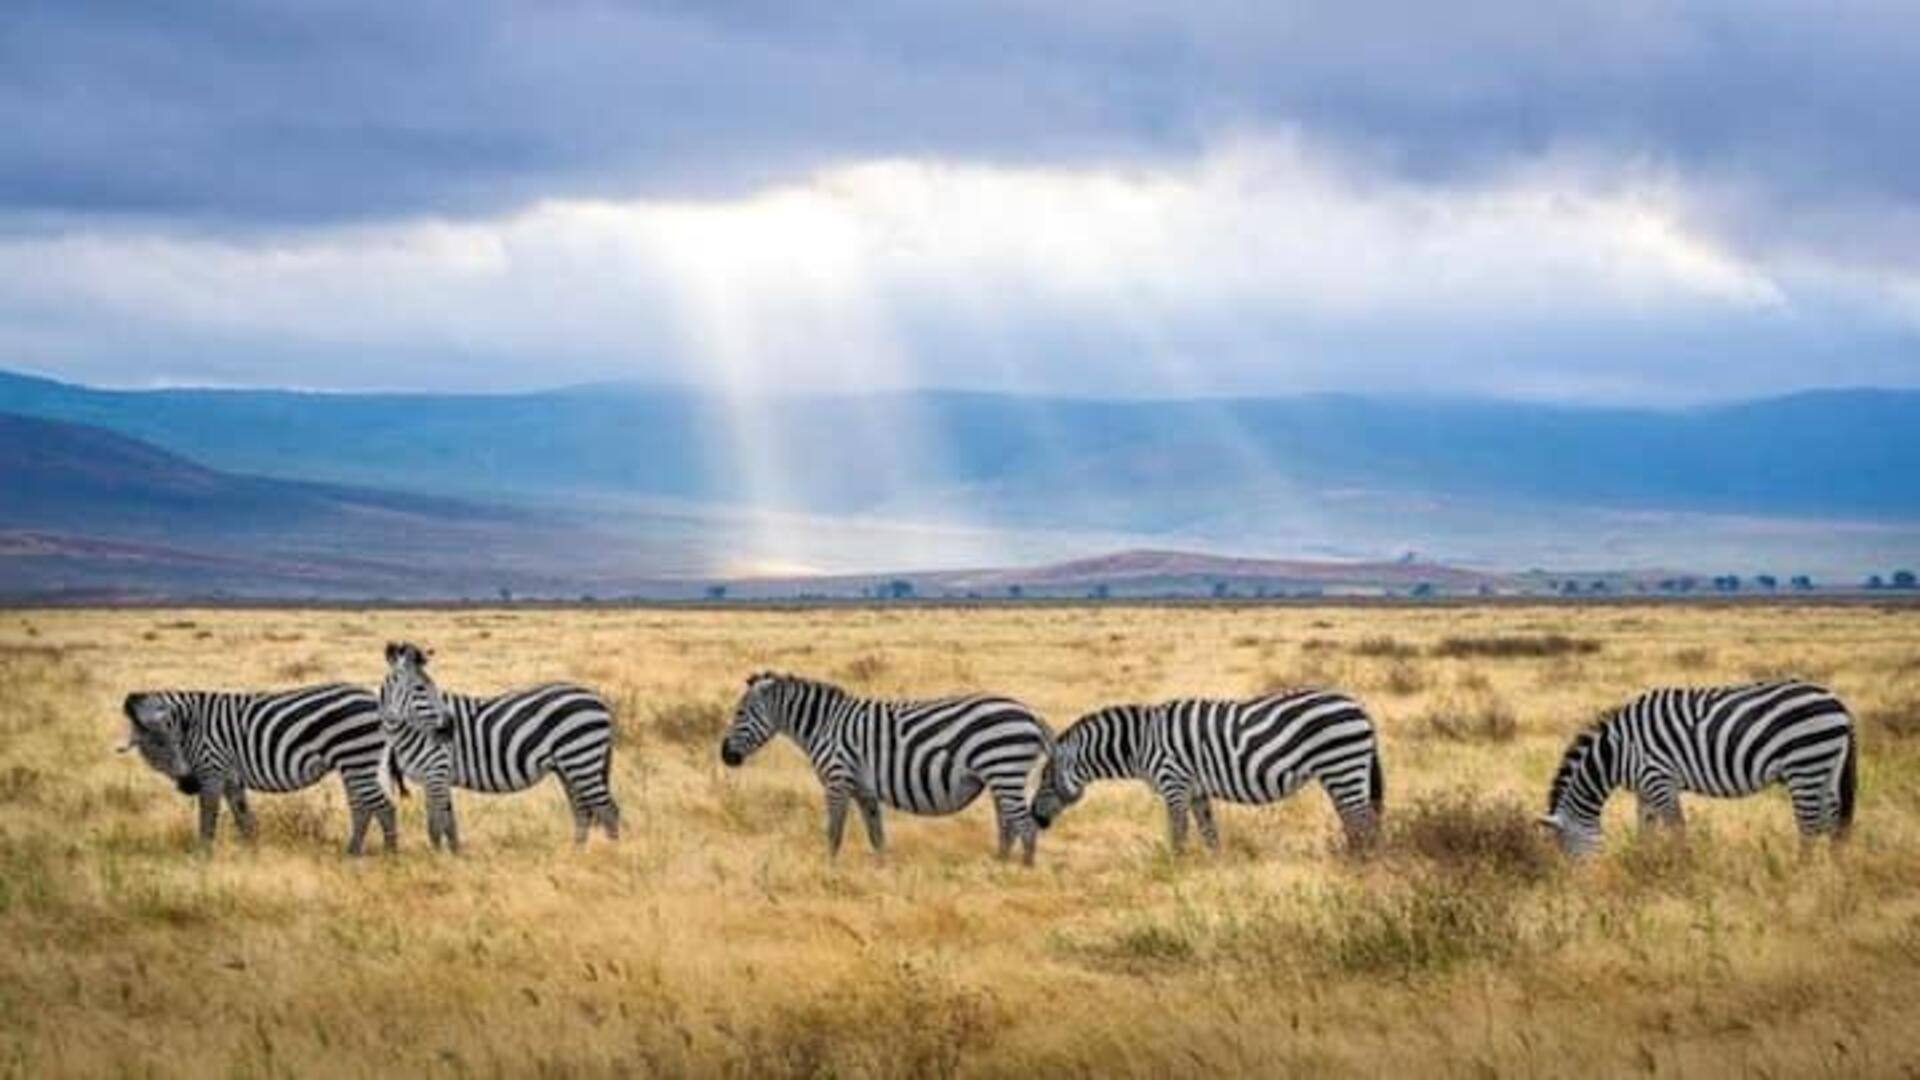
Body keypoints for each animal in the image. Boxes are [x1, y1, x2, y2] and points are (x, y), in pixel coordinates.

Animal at [117, 680, 397, 849]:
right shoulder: (230, 777)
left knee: (383, 806)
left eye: (174, 741)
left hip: (356, 758)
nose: (188, 784)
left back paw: (390, 855)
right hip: (353, 763)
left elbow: (208, 817)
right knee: (362, 807)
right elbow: (243, 816)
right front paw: (252, 851)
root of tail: (373, 697)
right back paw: (352, 853)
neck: (191, 726)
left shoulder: (212, 770)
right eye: (157, 746)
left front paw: (202, 856)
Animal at [384, 638, 629, 849]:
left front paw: (443, 860)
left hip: (581, 758)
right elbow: (444, 824)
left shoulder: (436, 770)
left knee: (608, 811)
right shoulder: (434, 778)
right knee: (582, 810)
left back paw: (611, 854)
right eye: (420, 688)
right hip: (569, 766)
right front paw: (450, 855)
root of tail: (597, 698)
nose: (449, 728)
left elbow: (438, 825)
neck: (408, 730)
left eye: (431, 688)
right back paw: (576, 853)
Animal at [721, 668, 1052, 860]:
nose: (725, 756)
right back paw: (999, 867)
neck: (824, 725)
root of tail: (1030, 714)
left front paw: (829, 870)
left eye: (740, 713)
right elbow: (876, 834)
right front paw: (882, 872)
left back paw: (1020, 876)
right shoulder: (863, 789)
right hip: (1001, 777)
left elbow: (834, 832)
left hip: (1004, 769)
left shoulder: (837, 779)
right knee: (1008, 826)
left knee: (1026, 827)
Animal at [1029, 687, 1390, 849]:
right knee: (1356, 821)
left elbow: (1179, 833)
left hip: (1342, 765)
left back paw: (1360, 867)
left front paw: (1174, 872)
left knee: (1364, 823)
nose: (1034, 817)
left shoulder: (1174, 784)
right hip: (1342, 772)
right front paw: (1213, 872)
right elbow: (1209, 833)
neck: (1141, 743)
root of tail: (1359, 706)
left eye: (1045, 778)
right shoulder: (1196, 790)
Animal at [1536, 676, 1850, 853]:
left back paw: (1800, 877)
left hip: (1805, 765)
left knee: (1810, 827)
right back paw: (1836, 876)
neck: (1618, 751)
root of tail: (1837, 702)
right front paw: (1642, 865)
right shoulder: (1645, 789)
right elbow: (1645, 832)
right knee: (1834, 823)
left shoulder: (1659, 779)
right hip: (1827, 767)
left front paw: (1682, 870)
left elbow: (1677, 830)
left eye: (1565, 847)